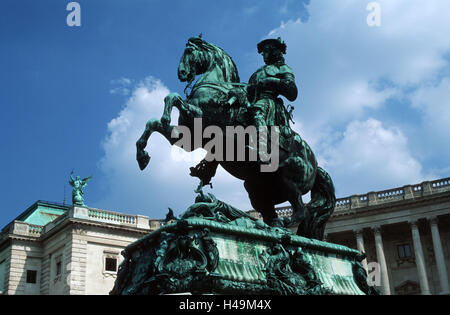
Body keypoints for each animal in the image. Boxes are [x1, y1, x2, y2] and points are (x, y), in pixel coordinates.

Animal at [134, 36, 334, 239]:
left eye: (189, 51)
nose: (181, 73)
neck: (218, 88)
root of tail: (316, 165)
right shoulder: (188, 138)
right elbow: (153, 123)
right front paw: (142, 156)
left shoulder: (201, 121)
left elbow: (172, 97)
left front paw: (165, 117)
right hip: (257, 187)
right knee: (271, 213)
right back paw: (264, 226)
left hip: (289, 179)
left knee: (301, 210)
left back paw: (282, 226)